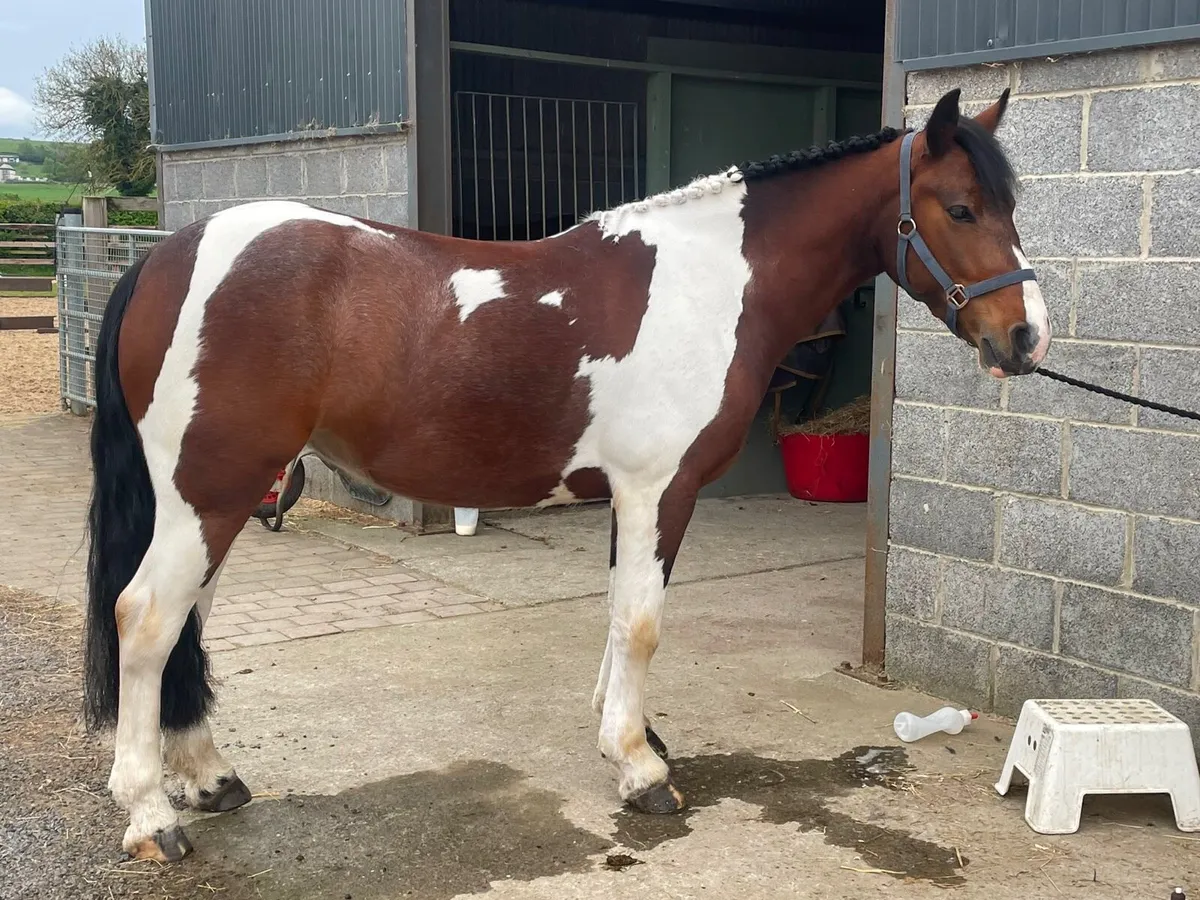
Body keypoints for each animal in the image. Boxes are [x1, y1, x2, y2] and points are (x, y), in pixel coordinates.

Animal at [82, 87, 1049, 862]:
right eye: (960, 208)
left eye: (1010, 204)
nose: (1026, 336)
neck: (706, 285)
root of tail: (165, 256)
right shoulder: (660, 489)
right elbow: (644, 624)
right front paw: (641, 770)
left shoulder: (631, 497)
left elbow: (619, 615)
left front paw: (632, 735)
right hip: (211, 493)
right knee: (147, 620)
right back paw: (151, 815)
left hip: (221, 499)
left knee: (189, 624)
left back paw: (209, 779)